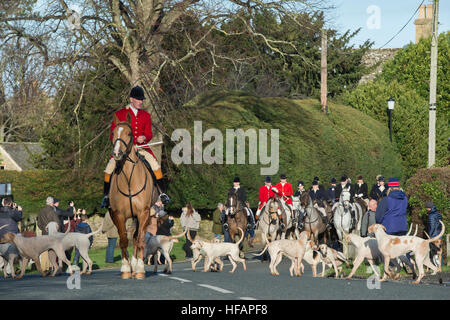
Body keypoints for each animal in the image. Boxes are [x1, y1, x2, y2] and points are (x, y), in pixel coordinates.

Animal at [107, 114, 156, 278]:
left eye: (129, 133)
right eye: (113, 133)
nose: (117, 153)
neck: (129, 179)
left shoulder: (143, 213)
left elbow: (140, 239)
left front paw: (140, 269)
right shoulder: (118, 214)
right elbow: (123, 240)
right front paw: (125, 268)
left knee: (136, 237)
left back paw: (136, 264)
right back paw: (131, 265)